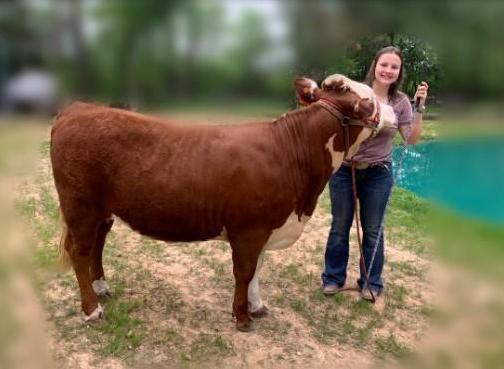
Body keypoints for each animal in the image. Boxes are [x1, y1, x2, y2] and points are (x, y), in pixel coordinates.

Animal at [52, 74, 398, 330]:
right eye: (368, 101)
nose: (395, 111)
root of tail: (78, 108)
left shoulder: (264, 228)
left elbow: (258, 269)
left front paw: (257, 307)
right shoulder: (248, 229)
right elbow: (245, 272)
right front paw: (242, 316)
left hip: (102, 210)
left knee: (97, 244)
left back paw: (101, 289)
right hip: (80, 205)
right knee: (80, 251)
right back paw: (92, 310)